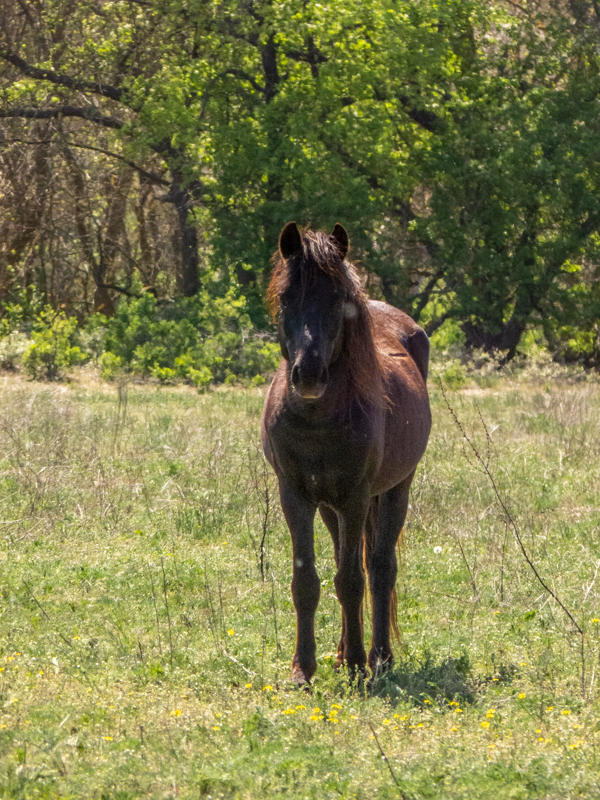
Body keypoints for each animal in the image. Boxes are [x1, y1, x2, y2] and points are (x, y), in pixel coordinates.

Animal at [261, 222, 431, 684]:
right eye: (287, 297)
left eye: (337, 298)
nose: (309, 375)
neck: (317, 419)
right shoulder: (296, 497)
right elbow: (308, 581)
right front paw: (303, 669)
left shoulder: (356, 498)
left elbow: (354, 579)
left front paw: (357, 663)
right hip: (330, 507)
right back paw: (339, 654)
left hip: (394, 491)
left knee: (380, 568)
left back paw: (379, 657)